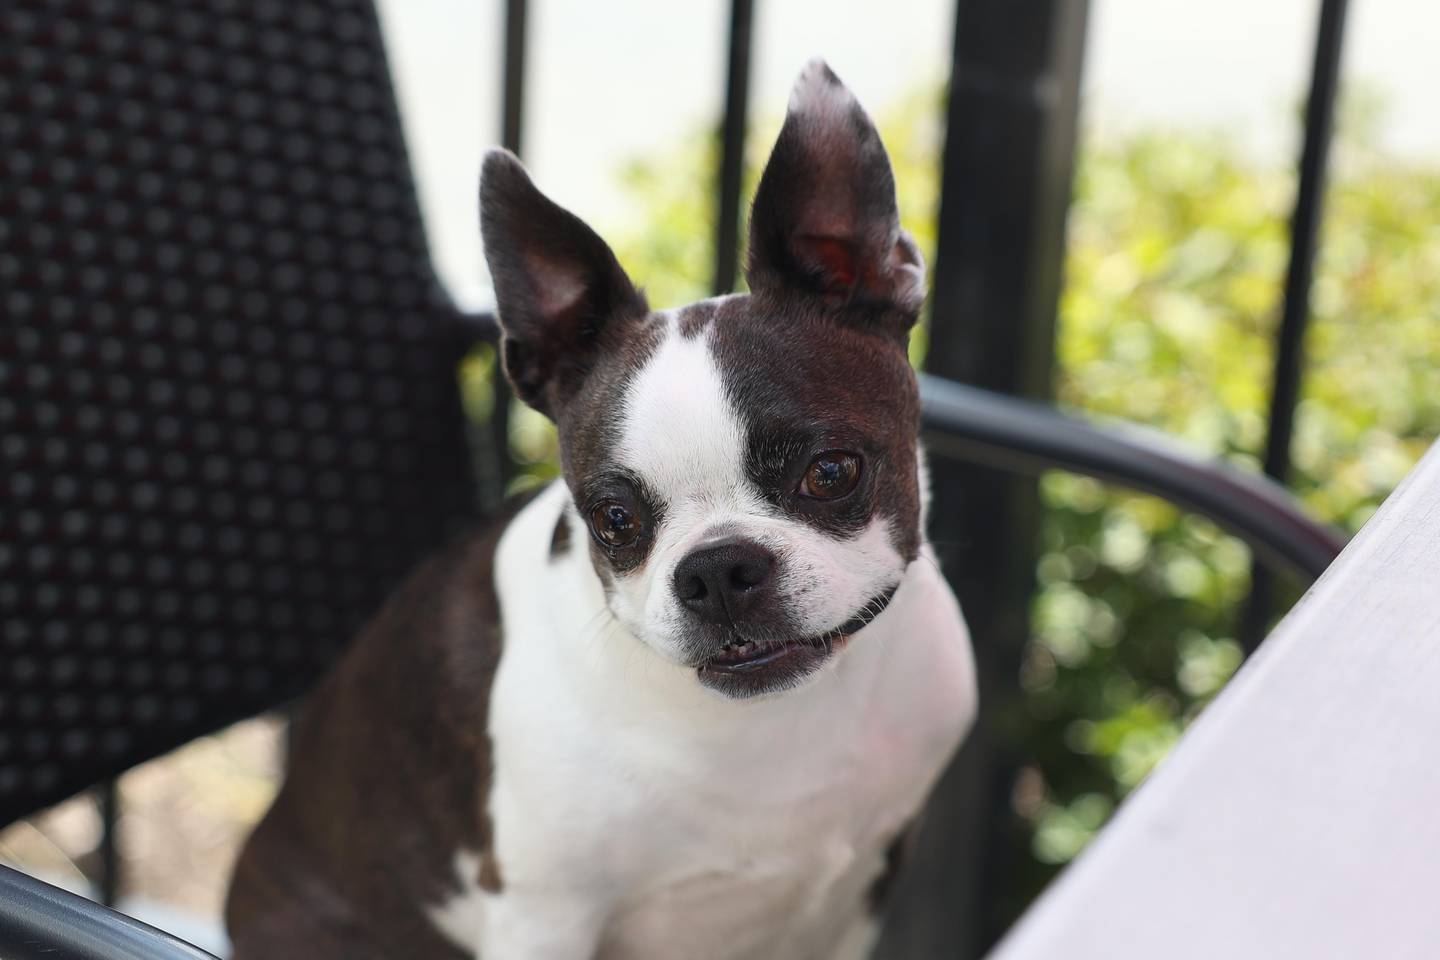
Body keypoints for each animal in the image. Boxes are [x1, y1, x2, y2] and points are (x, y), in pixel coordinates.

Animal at [227, 60, 979, 960]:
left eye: (831, 473)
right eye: (613, 522)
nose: (719, 570)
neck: (770, 722)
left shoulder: (867, 879)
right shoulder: (542, 916)